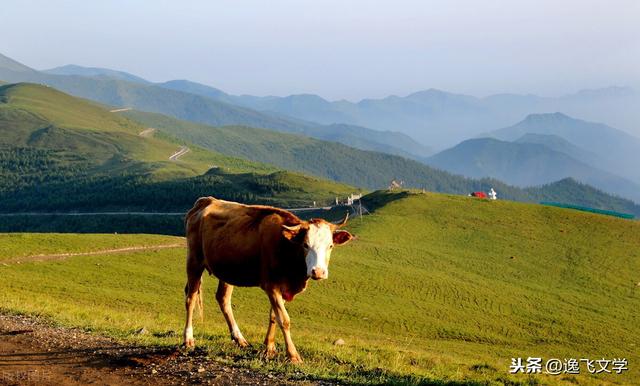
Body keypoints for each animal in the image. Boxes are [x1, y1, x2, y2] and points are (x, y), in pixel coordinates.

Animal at [181, 198, 356, 364]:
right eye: (306, 245)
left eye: (330, 246)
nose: (318, 272)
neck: (286, 247)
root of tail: (205, 201)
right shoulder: (271, 285)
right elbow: (284, 320)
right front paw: (293, 355)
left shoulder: (282, 287)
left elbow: (273, 316)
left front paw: (269, 347)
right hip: (194, 261)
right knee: (191, 299)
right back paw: (188, 339)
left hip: (227, 271)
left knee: (223, 299)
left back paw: (239, 338)